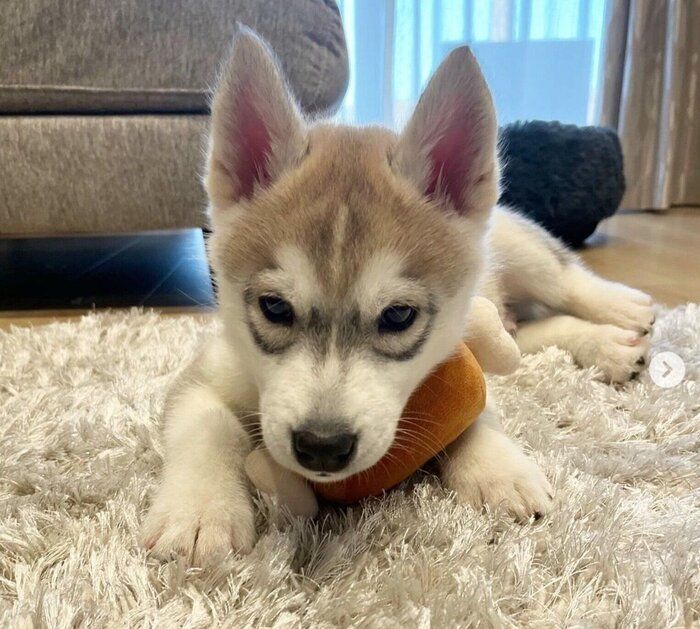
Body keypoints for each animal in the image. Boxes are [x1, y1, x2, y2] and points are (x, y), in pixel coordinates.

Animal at [142, 28, 656, 564]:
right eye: (275, 308)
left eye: (398, 316)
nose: (322, 446)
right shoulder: (208, 372)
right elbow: (205, 425)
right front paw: (200, 510)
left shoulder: (457, 348)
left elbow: (479, 405)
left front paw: (496, 466)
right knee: (529, 331)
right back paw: (610, 346)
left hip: (518, 250)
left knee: (562, 277)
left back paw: (620, 311)